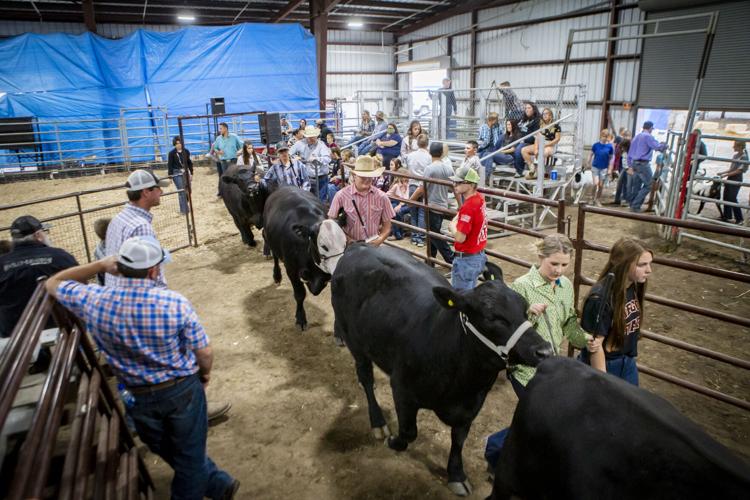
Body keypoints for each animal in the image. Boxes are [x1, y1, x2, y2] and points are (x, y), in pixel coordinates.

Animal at [264, 186, 346, 330]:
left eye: (345, 243)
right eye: (323, 246)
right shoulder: (291, 269)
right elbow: (299, 294)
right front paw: (300, 318)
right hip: (270, 240)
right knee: (274, 255)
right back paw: (277, 276)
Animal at [332, 244, 556, 494]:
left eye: (526, 310)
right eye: (492, 317)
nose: (544, 350)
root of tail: (358, 247)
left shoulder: (472, 405)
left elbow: (458, 440)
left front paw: (456, 475)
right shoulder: (401, 388)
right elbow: (409, 432)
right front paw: (394, 442)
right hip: (355, 343)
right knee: (366, 380)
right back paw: (378, 423)